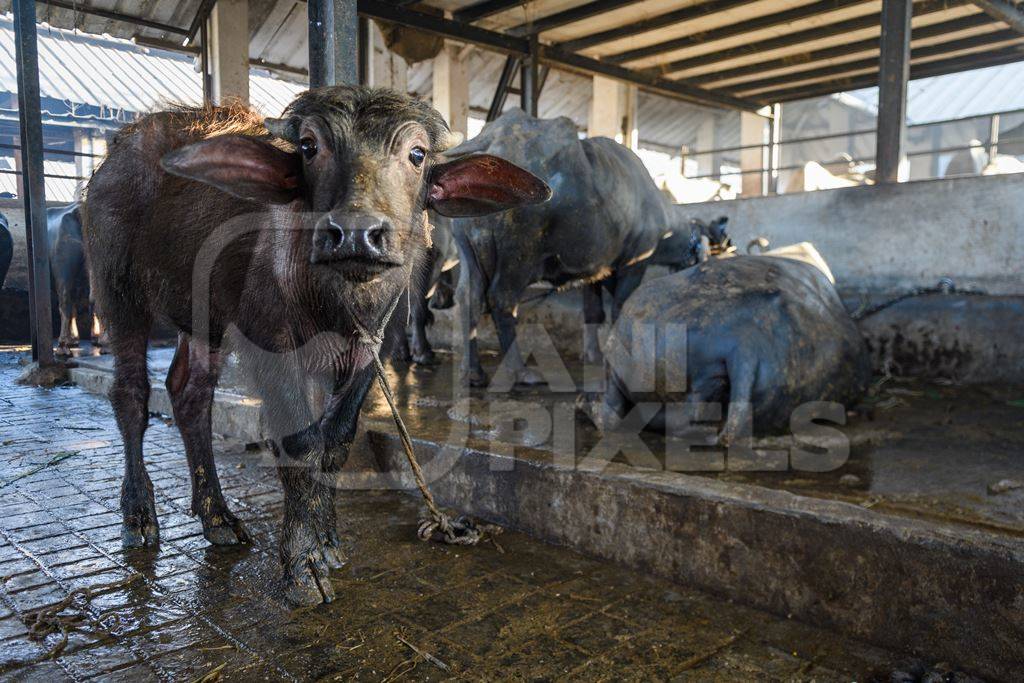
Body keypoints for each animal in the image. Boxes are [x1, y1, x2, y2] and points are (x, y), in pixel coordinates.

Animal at [86, 88, 552, 606]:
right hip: (117, 289)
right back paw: (138, 517)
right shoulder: (270, 343)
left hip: (204, 320)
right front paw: (302, 565)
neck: (337, 298)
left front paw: (326, 541)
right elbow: (299, 443)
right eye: (309, 147)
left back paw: (218, 516)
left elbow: (335, 441)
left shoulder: (372, 350)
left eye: (417, 155)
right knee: (131, 394)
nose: (356, 233)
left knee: (190, 395)